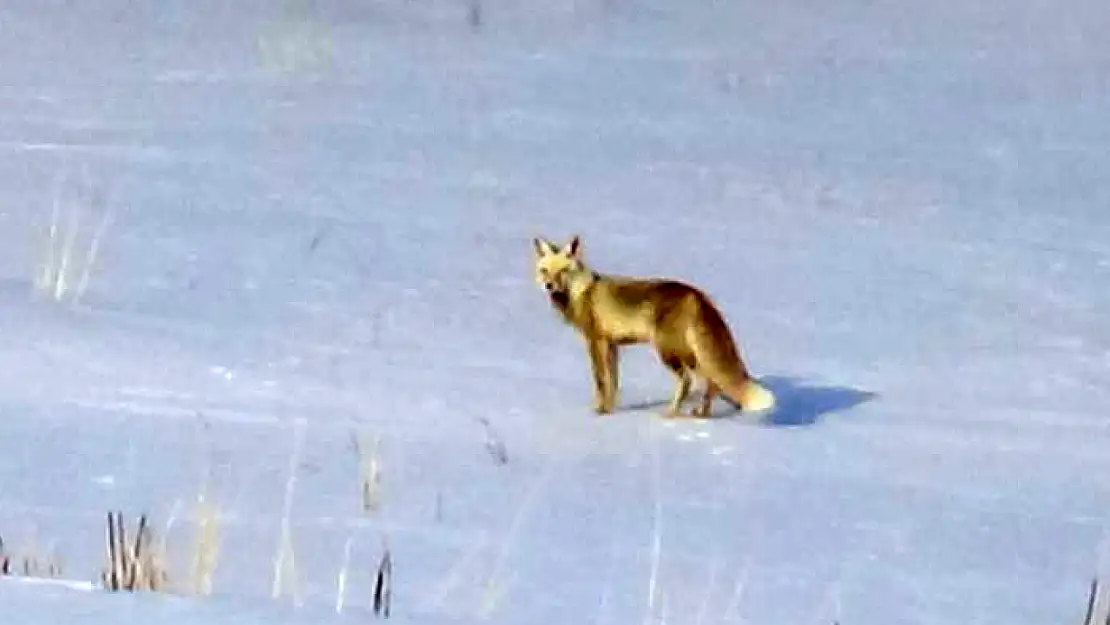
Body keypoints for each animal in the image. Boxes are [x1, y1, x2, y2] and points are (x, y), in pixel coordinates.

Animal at [528, 235, 772, 419]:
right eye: (544, 270)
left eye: (562, 271)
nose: (548, 286)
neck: (581, 293)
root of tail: (695, 293)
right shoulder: (612, 345)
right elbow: (613, 382)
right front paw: (611, 409)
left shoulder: (595, 341)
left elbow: (601, 382)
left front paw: (600, 411)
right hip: (688, 353)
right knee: (712, 382)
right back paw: (703, 414)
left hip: (668, 351)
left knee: (689, 381)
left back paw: (671, 415)